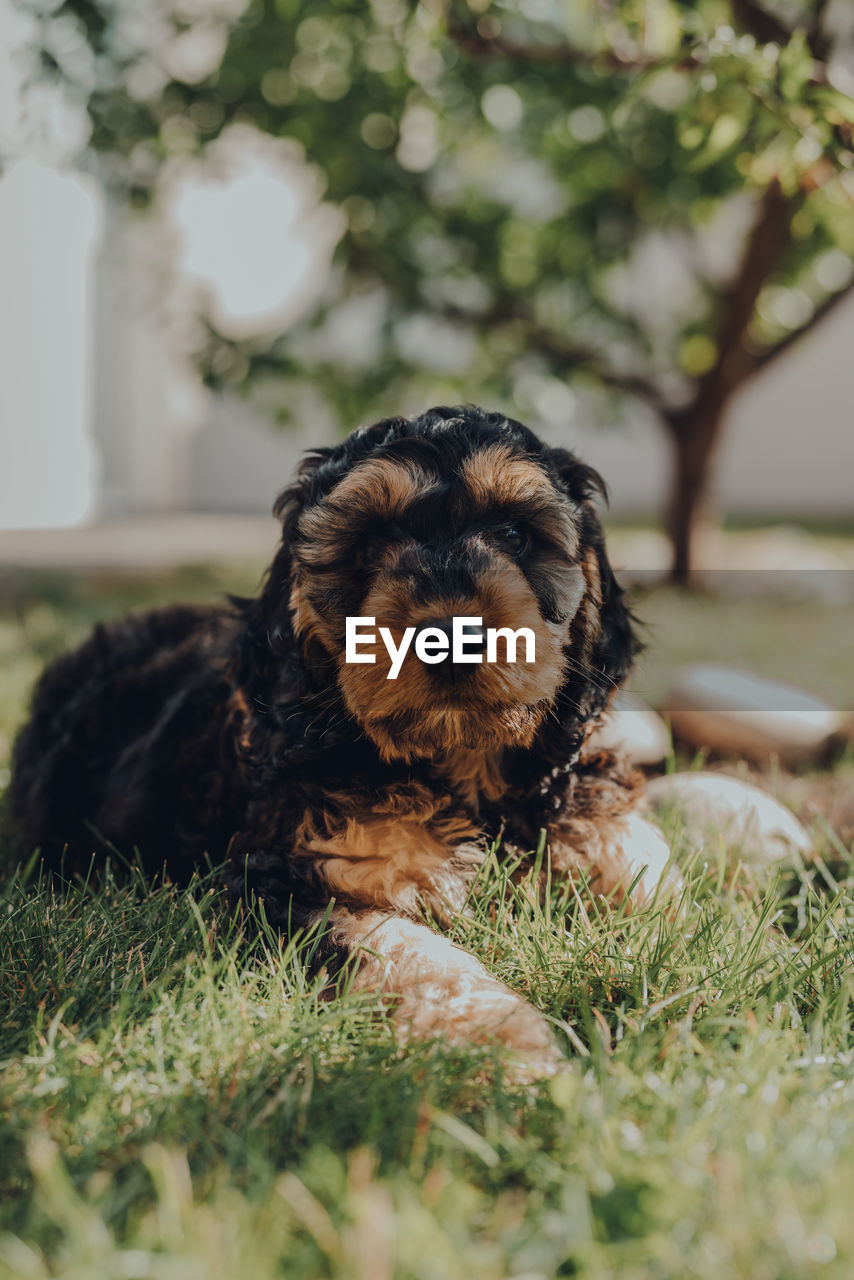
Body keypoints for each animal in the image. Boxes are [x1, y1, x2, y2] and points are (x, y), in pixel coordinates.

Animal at [6, 404, 676, 1075]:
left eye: (514, 535)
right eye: (372, 544)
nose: (452, 637)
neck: (458, 767)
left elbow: (650, 870)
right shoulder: (289, 880)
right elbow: (408, 952)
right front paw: (508, 1048)